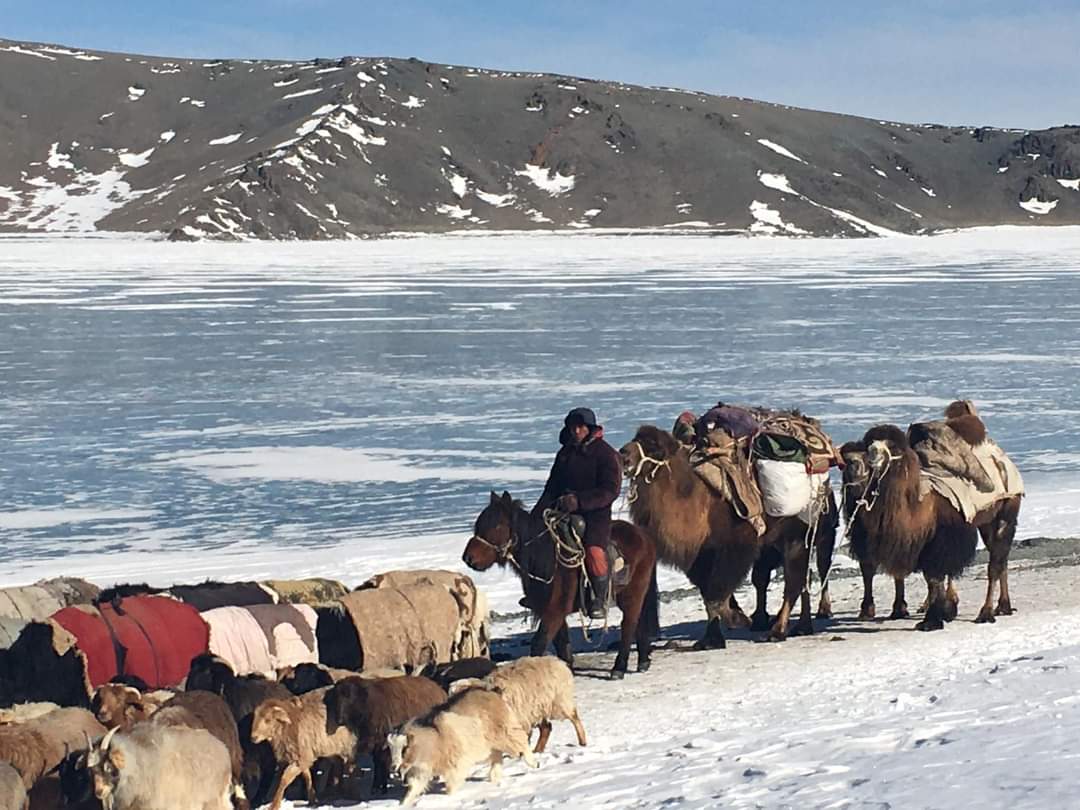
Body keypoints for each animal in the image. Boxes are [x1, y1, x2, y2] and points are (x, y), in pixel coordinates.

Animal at [455, 660, 591, 756]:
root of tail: (559, 662)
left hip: (559, 701)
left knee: (574, 718)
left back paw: (582, 742)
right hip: (536, 709)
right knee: (546, 728)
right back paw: (538, 750)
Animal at [462, 492, 656, 682]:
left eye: (497, 526)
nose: (468, 558)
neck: (545, 558)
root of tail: (643, 535)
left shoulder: (554, 611)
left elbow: (539, 643)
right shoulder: (552, 613)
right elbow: (562, 645)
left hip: (633, 595)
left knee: (629, 626)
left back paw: (619, 668)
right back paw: (643, 661)